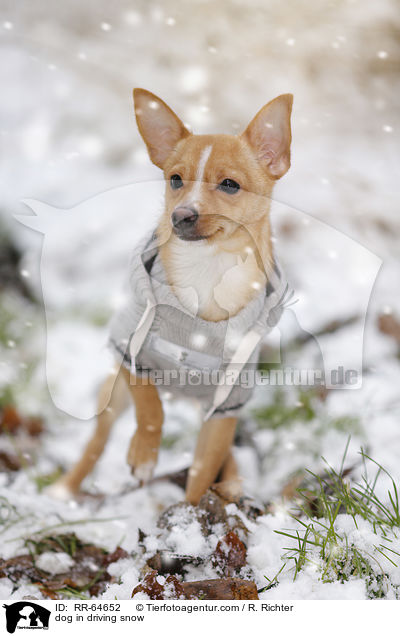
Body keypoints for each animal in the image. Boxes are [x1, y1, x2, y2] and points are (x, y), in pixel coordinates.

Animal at [50, 89, 292, 504]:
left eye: (230, 185)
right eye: (175, 179)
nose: (181, 215)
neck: (208, 270)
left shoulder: (227, 404)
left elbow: (203, 469)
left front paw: (192, 513)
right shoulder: (130, 348)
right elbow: (150, 409)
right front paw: (144, 457)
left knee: (222, 455)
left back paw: (232, 482)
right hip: (111, 396)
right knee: (97, 442)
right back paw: (65, 490)